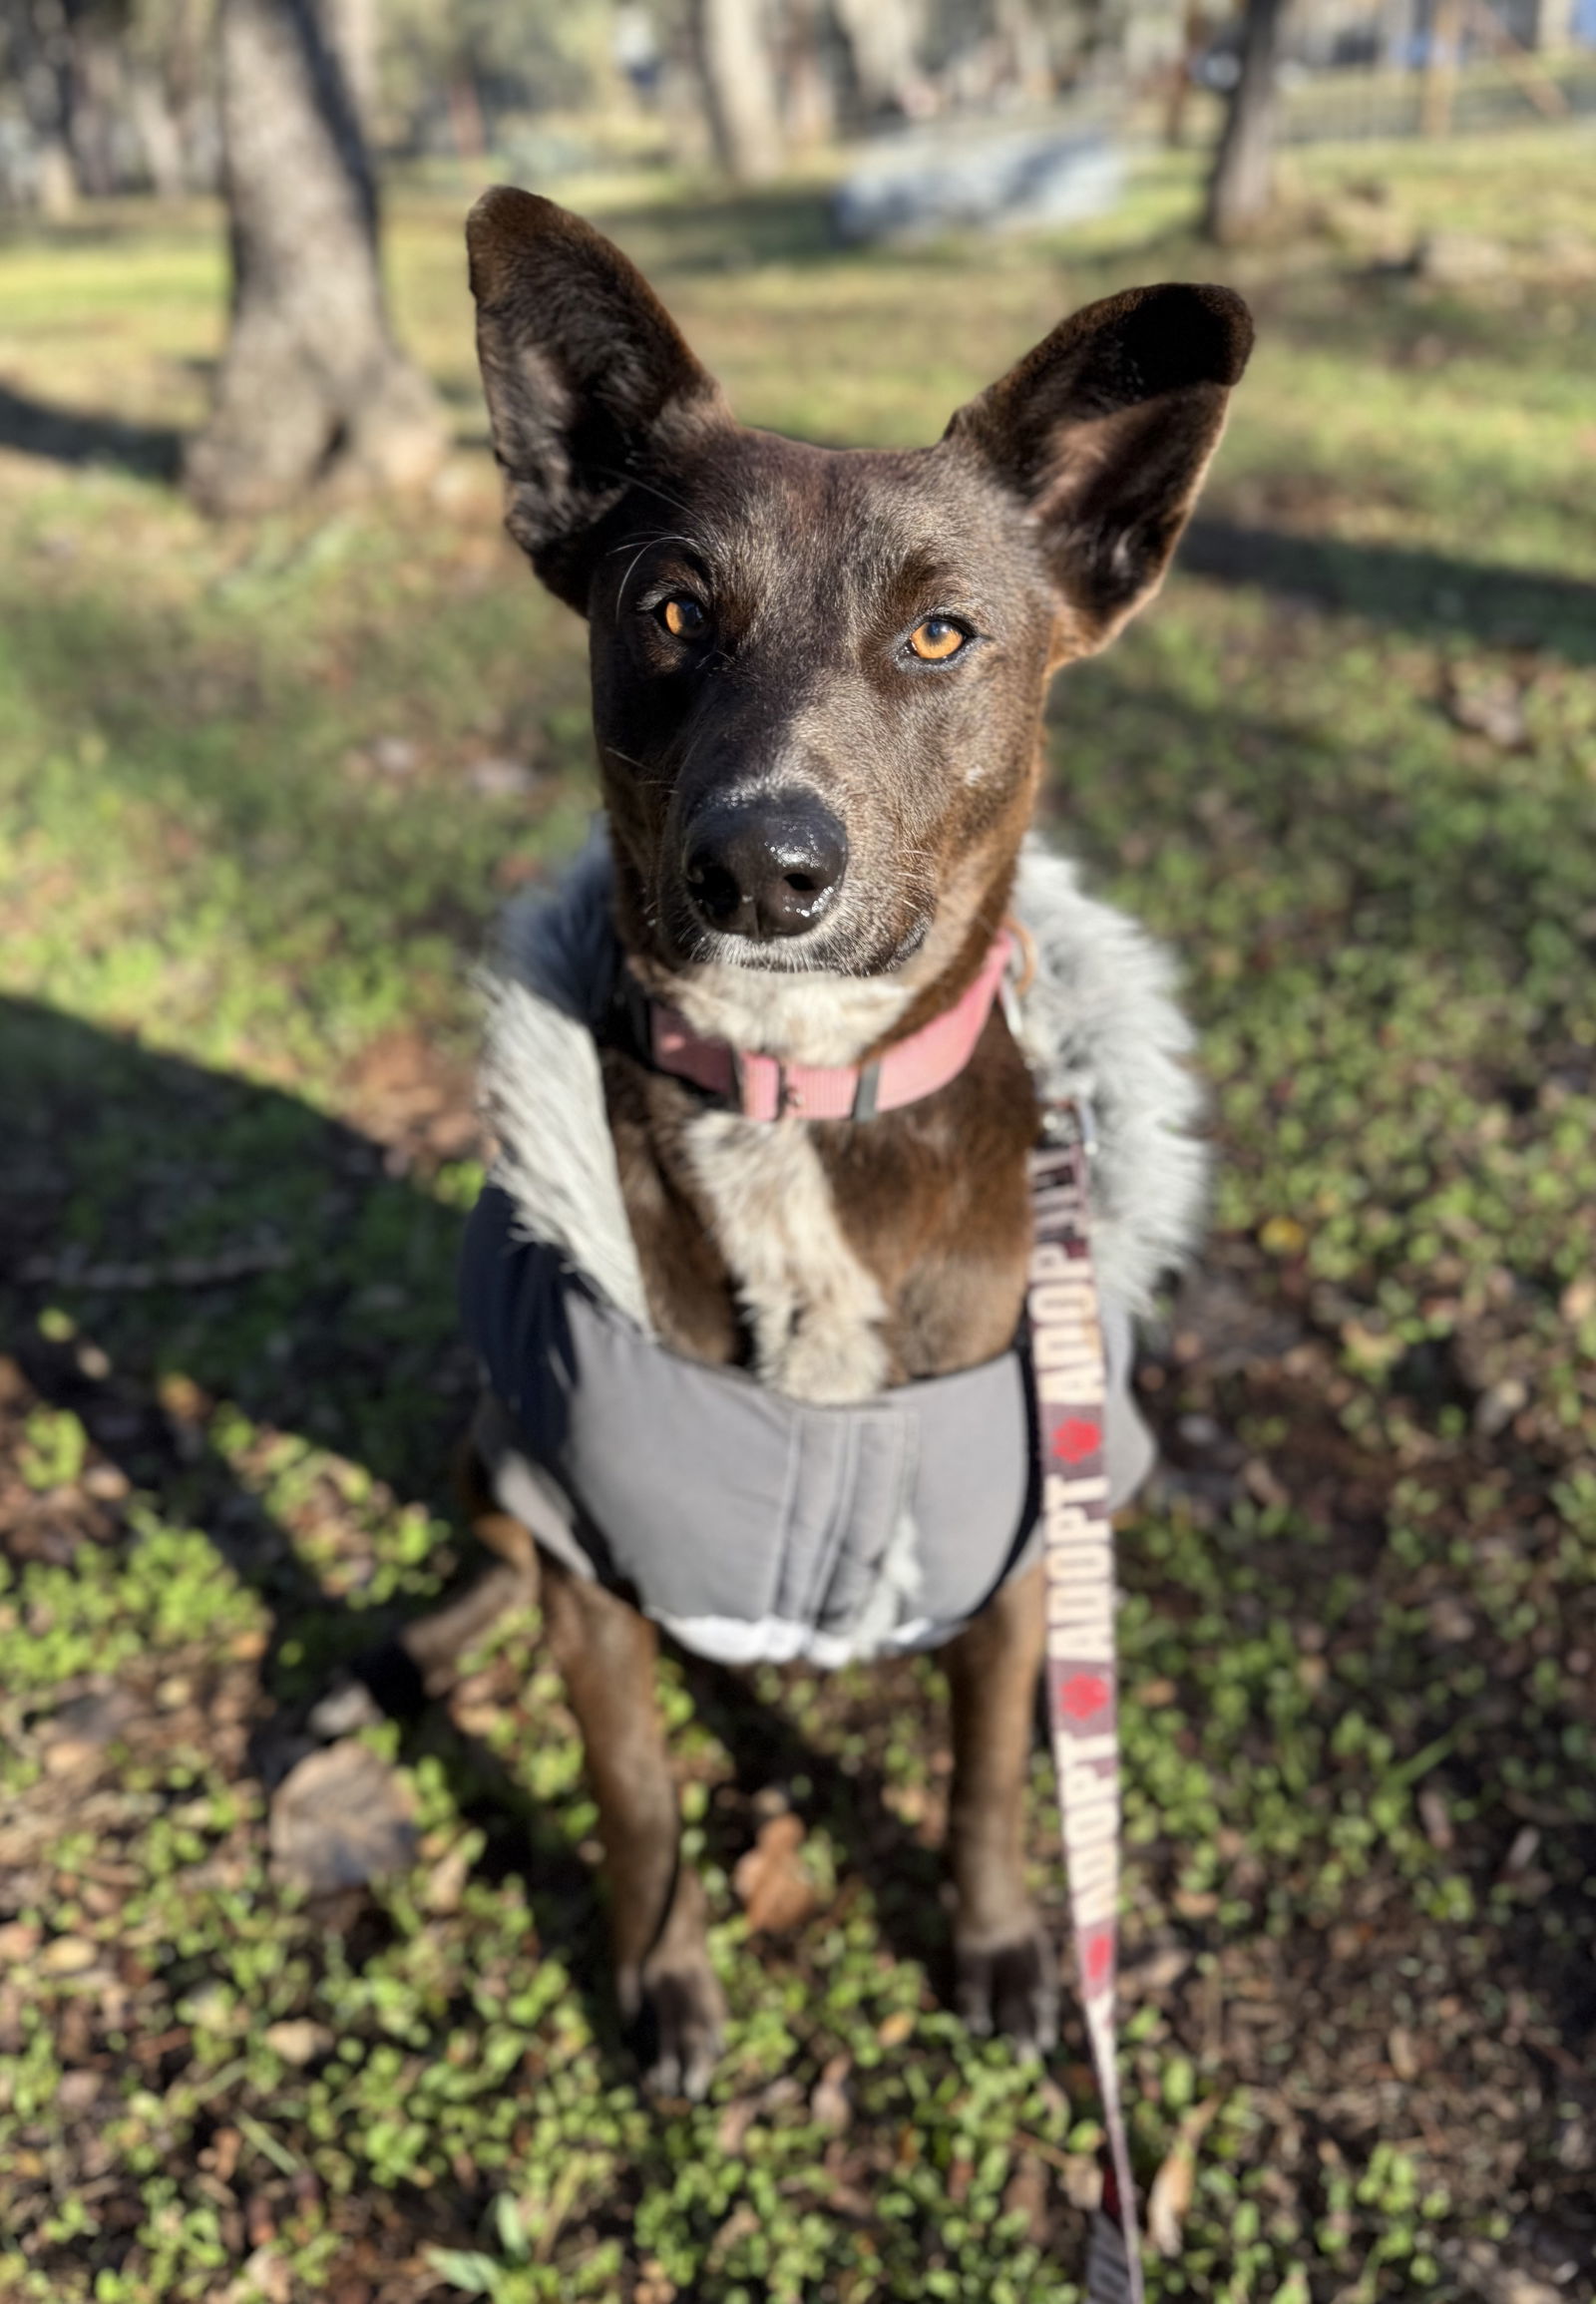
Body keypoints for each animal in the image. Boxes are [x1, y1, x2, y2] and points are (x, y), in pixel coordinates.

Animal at [433, 193, 1243, 2110]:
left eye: (942, 635)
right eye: (669, 607)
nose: (759, 865)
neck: (795, 1097)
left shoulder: (1024, 1554)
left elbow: (994, 1779)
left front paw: (1006, 1946)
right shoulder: (589, 1555)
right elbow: (639, 1795)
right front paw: (662, 1978)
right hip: (505, 1448)